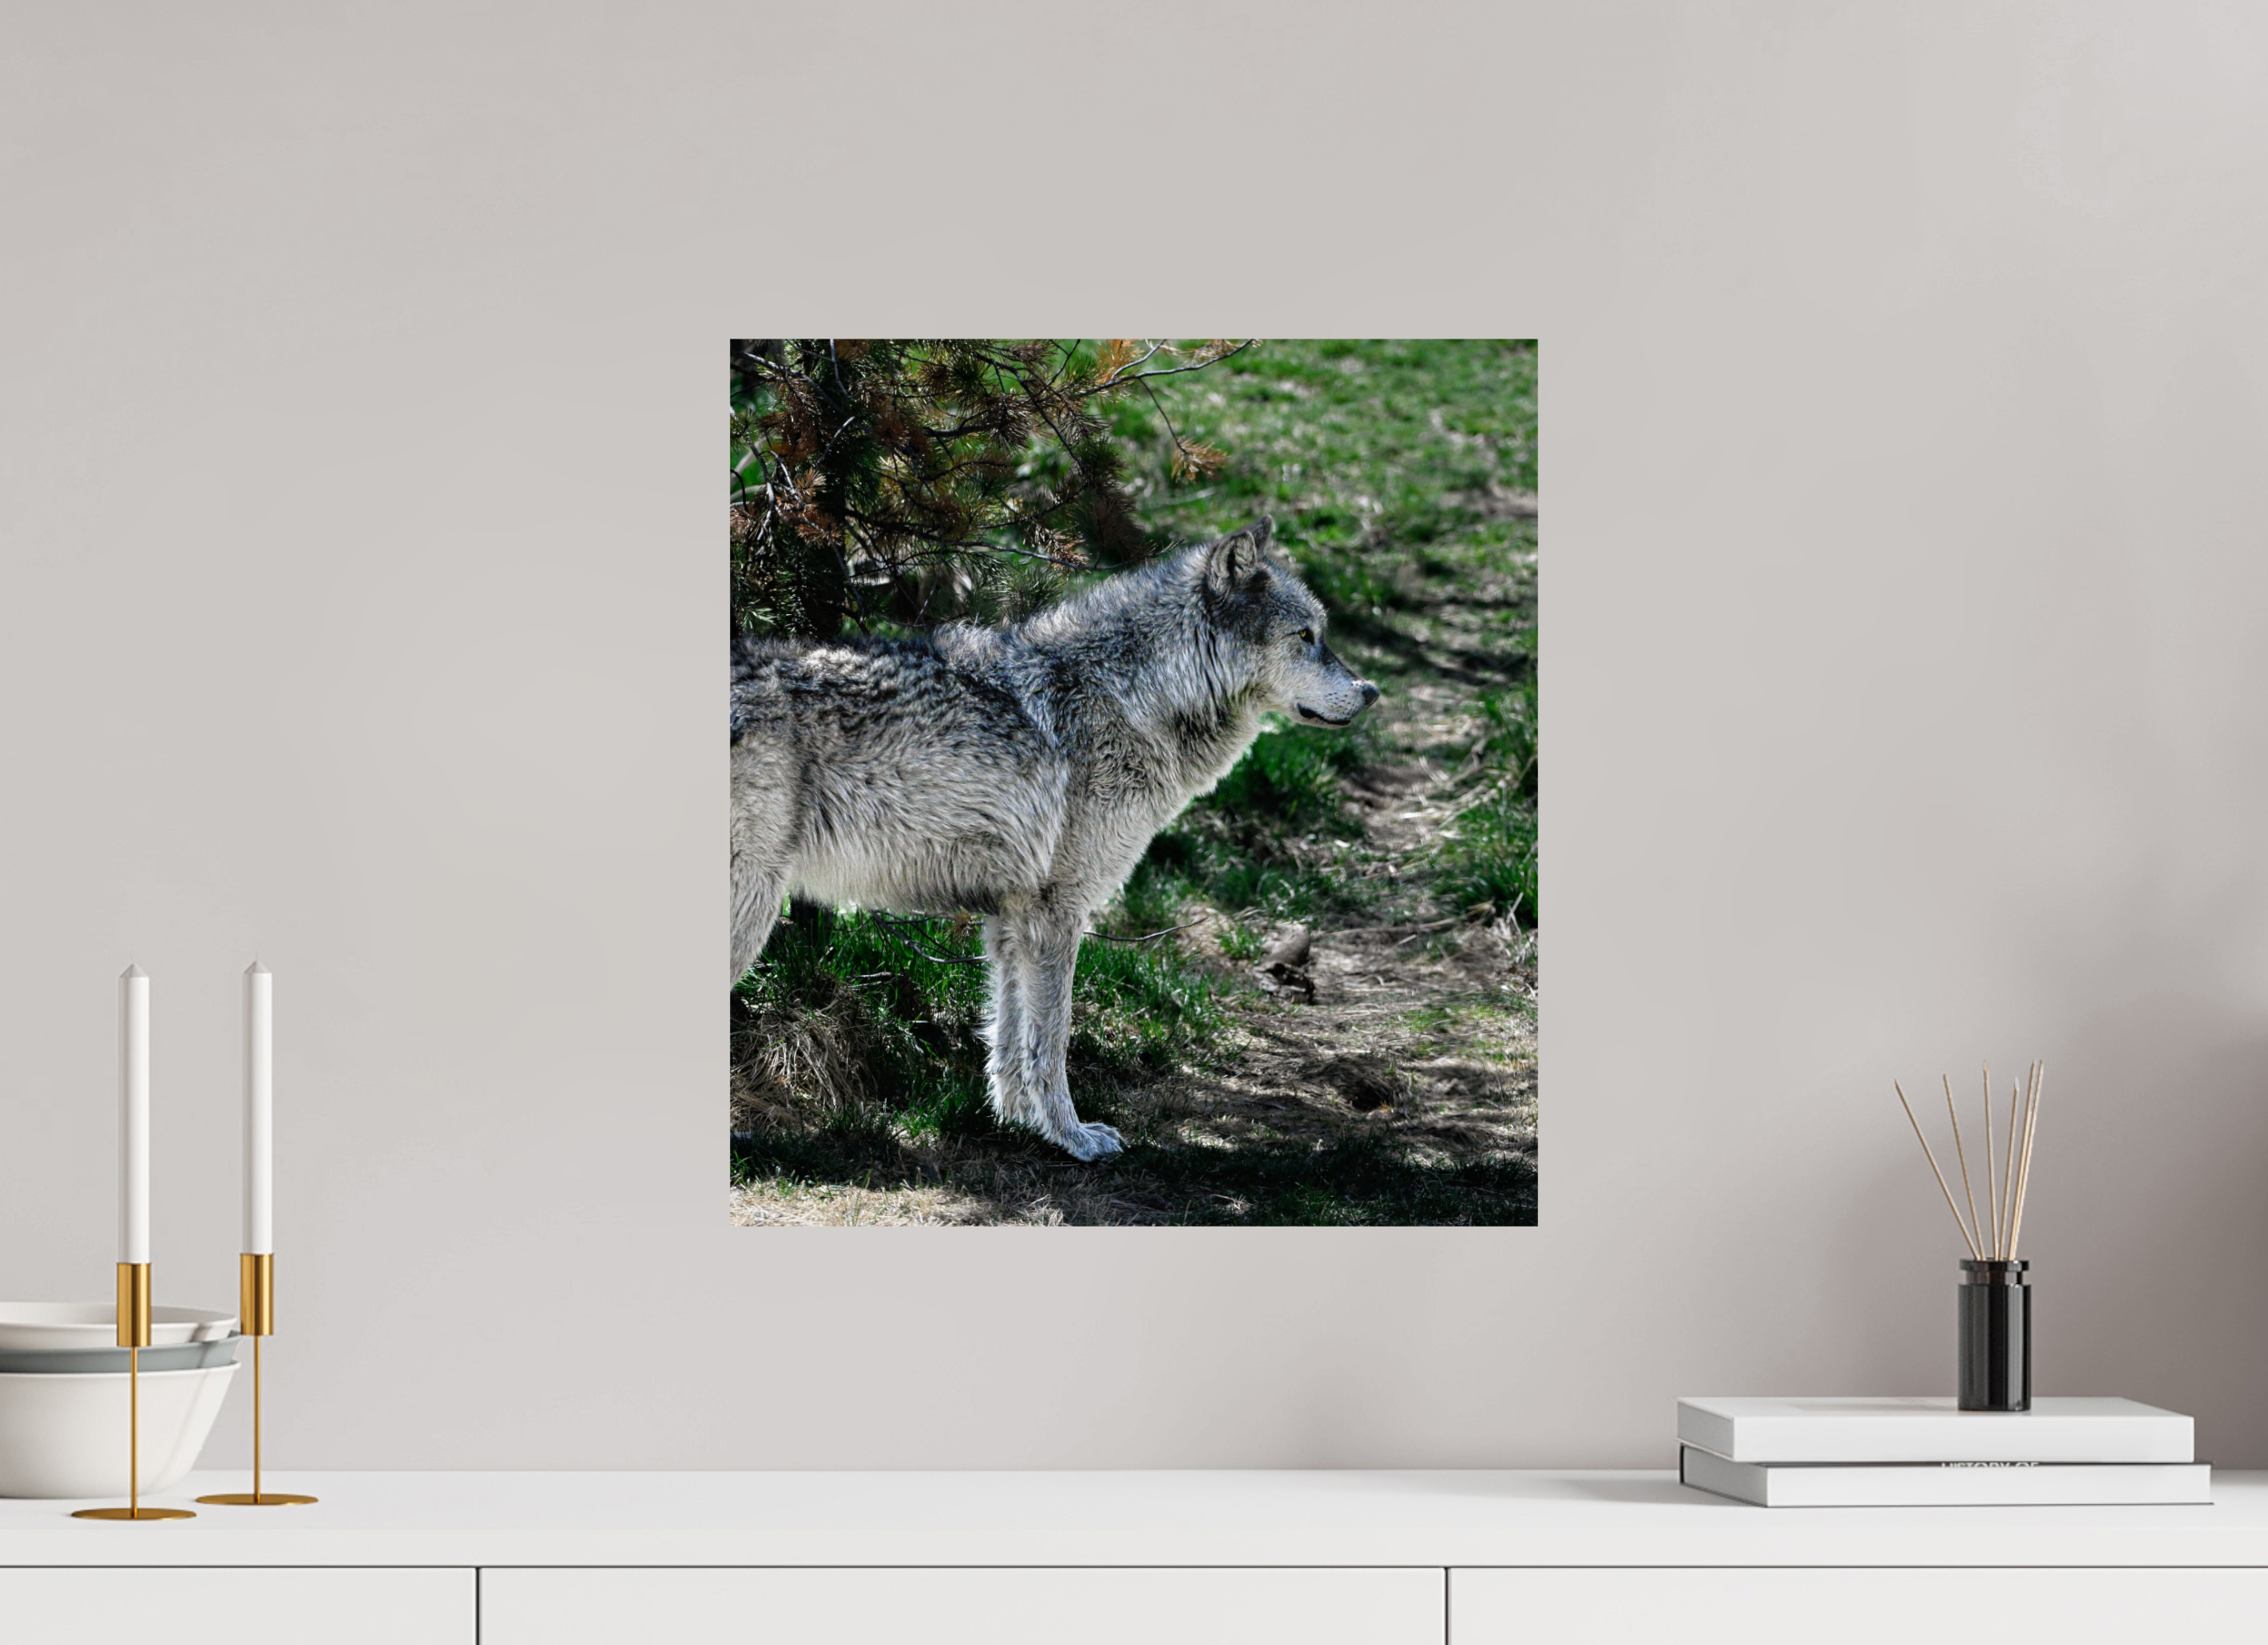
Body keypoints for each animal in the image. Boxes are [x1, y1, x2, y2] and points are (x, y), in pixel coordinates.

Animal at [729, 517, 1379, 1160]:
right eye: (1305, 636)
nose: (1371, 691)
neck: (1136, 697)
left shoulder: (1012, 916)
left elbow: (1010, 1038)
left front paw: (1021, 1122)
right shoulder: (1058, 910)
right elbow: (1054, 1039)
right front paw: (1073, 1137)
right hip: (752, 910)